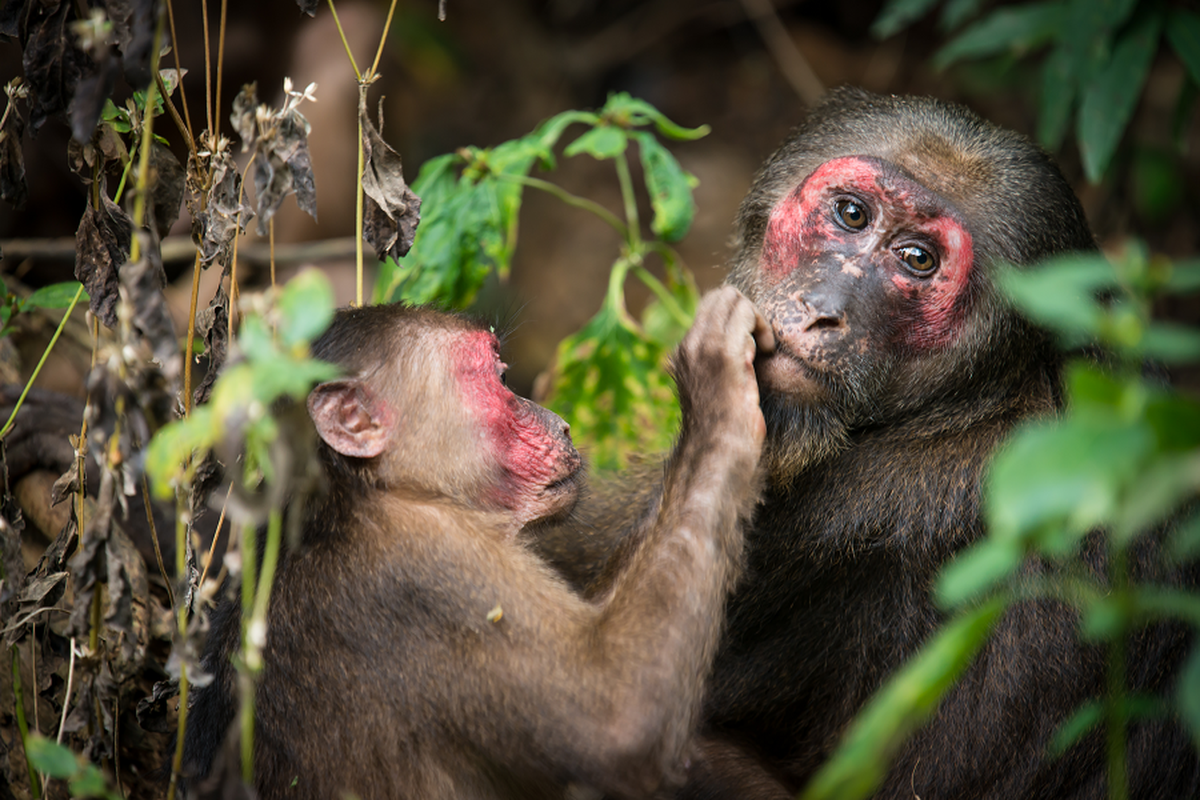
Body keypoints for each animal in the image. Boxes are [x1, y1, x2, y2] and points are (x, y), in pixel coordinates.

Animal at [182, 289, 772, 800]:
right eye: (503, 380)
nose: (562, 424)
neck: (358, 490)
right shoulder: (425, 562)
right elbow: (620, 722)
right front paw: (717, 389)